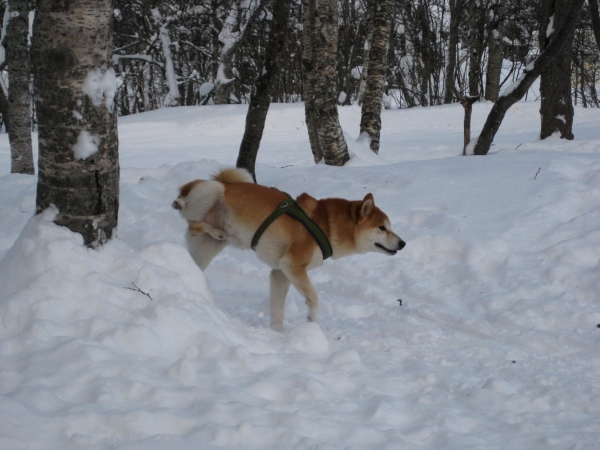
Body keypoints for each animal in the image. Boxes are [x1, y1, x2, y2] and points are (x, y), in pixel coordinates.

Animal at [173, 168, 408, 330]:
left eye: (390, 226)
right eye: (382, 228)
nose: (403, 243)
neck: (325, 224)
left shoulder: (280, 273)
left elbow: (277, 310)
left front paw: (278, 335)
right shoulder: (292, 266)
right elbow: (313, 297)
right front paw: (312, 322)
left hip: (204, 251)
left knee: (194, 243)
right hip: (212, 192)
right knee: (189, 216)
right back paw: (194, 214)